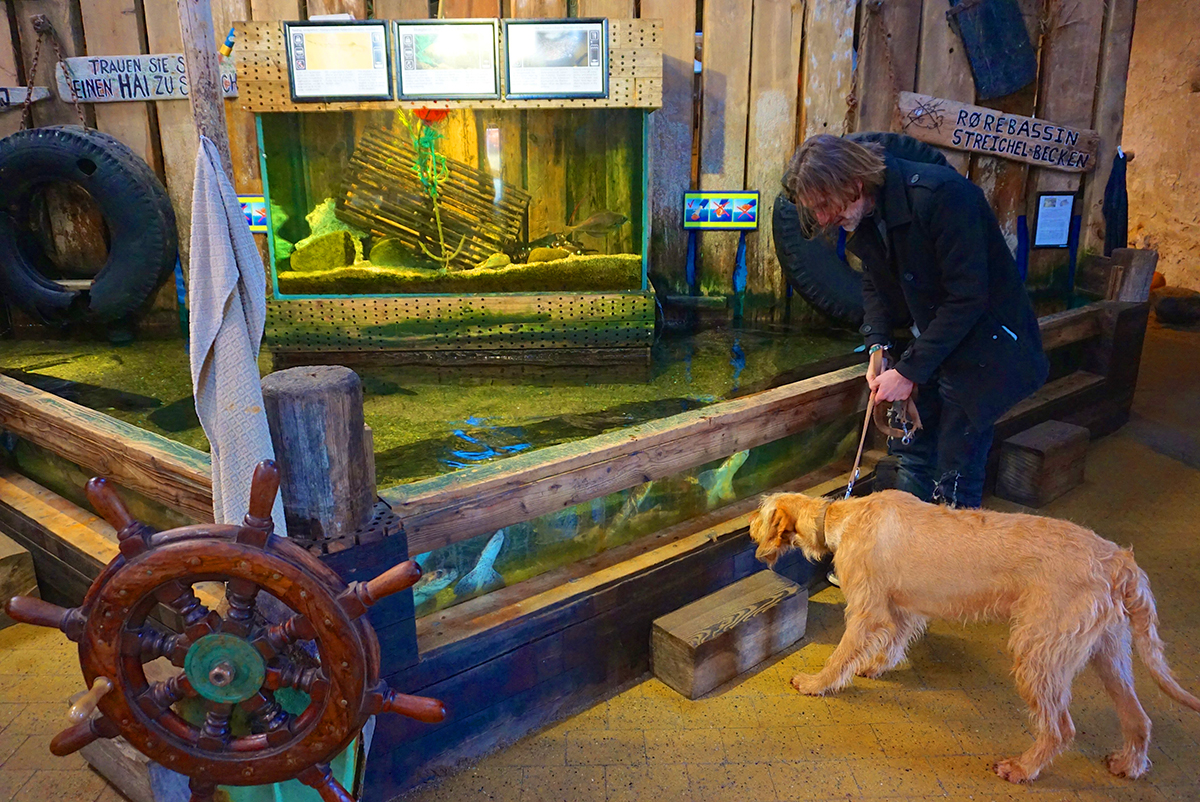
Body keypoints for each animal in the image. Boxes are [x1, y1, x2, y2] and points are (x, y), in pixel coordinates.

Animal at [748, 489, 1200, 782]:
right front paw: (875, 667)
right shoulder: (901, 610)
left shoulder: (866, 610)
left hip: (1038, 654)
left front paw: (816, 683)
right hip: (1108, 653)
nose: (749, 530)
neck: (842, 517)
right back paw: (1129, 765)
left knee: (1061, 728)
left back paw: (1021, 768)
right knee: (1138, 718)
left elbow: (841, 655)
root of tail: (1118, 560)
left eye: (761, 510)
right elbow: (892, 643)